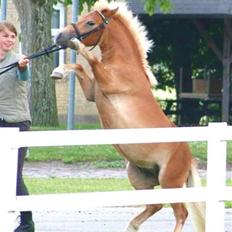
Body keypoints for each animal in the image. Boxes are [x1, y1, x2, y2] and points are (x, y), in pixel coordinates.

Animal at [50, 0, 205, 231]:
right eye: (81, 18)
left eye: (90, 22)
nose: (60, 36)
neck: (122, 64)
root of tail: (189, 158)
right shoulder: (92, 93)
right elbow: (79, 66)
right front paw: (58, 71)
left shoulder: (108, 82)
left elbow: (91, 60)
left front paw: (76, 46)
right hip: (139, 177)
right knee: (155, 206)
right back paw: (131, 226)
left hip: (169, 182)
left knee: (181, 213)